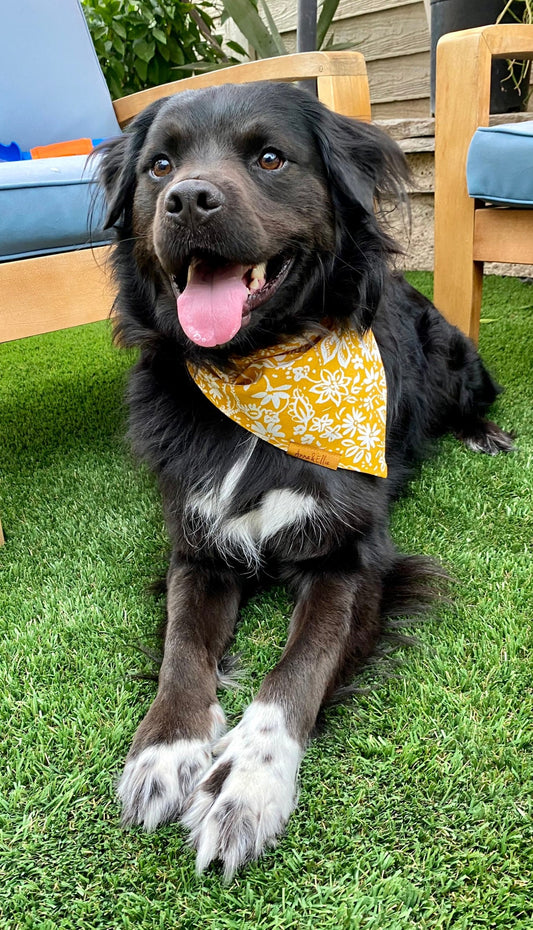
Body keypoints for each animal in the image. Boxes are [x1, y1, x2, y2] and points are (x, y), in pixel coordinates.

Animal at [95, 81, 512, 876]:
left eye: (269, 158)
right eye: (161, 166)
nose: (188, 200)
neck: (252, 371)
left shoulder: (349, 559)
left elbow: (294, 673)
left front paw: (246, 787)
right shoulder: (196, 546)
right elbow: (182, 652)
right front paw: (165, 751)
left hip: (456, 359)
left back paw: (484, 434)